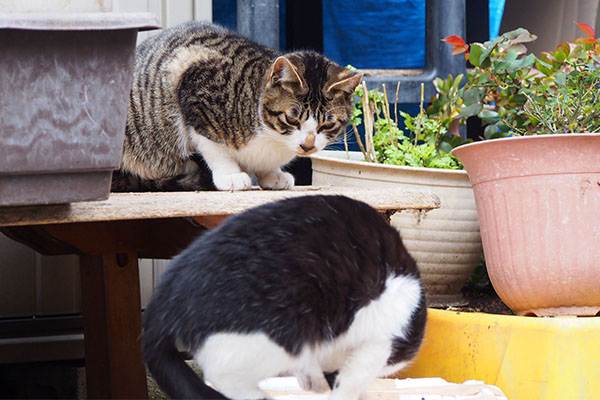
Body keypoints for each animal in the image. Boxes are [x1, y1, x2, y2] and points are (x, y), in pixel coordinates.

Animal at [112, 21, 360, 192]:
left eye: (327, 125)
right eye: (292, 118)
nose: (307, 146)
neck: (272, 138)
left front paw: (272, 174)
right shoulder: (193, 85)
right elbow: (214, 146)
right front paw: (230, 175)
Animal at [142, 195, 426, 398]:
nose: (319, 386)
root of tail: (166, 292)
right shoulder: (378, 343)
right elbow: (351, 384)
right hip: (278, 334)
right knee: (222, 376)